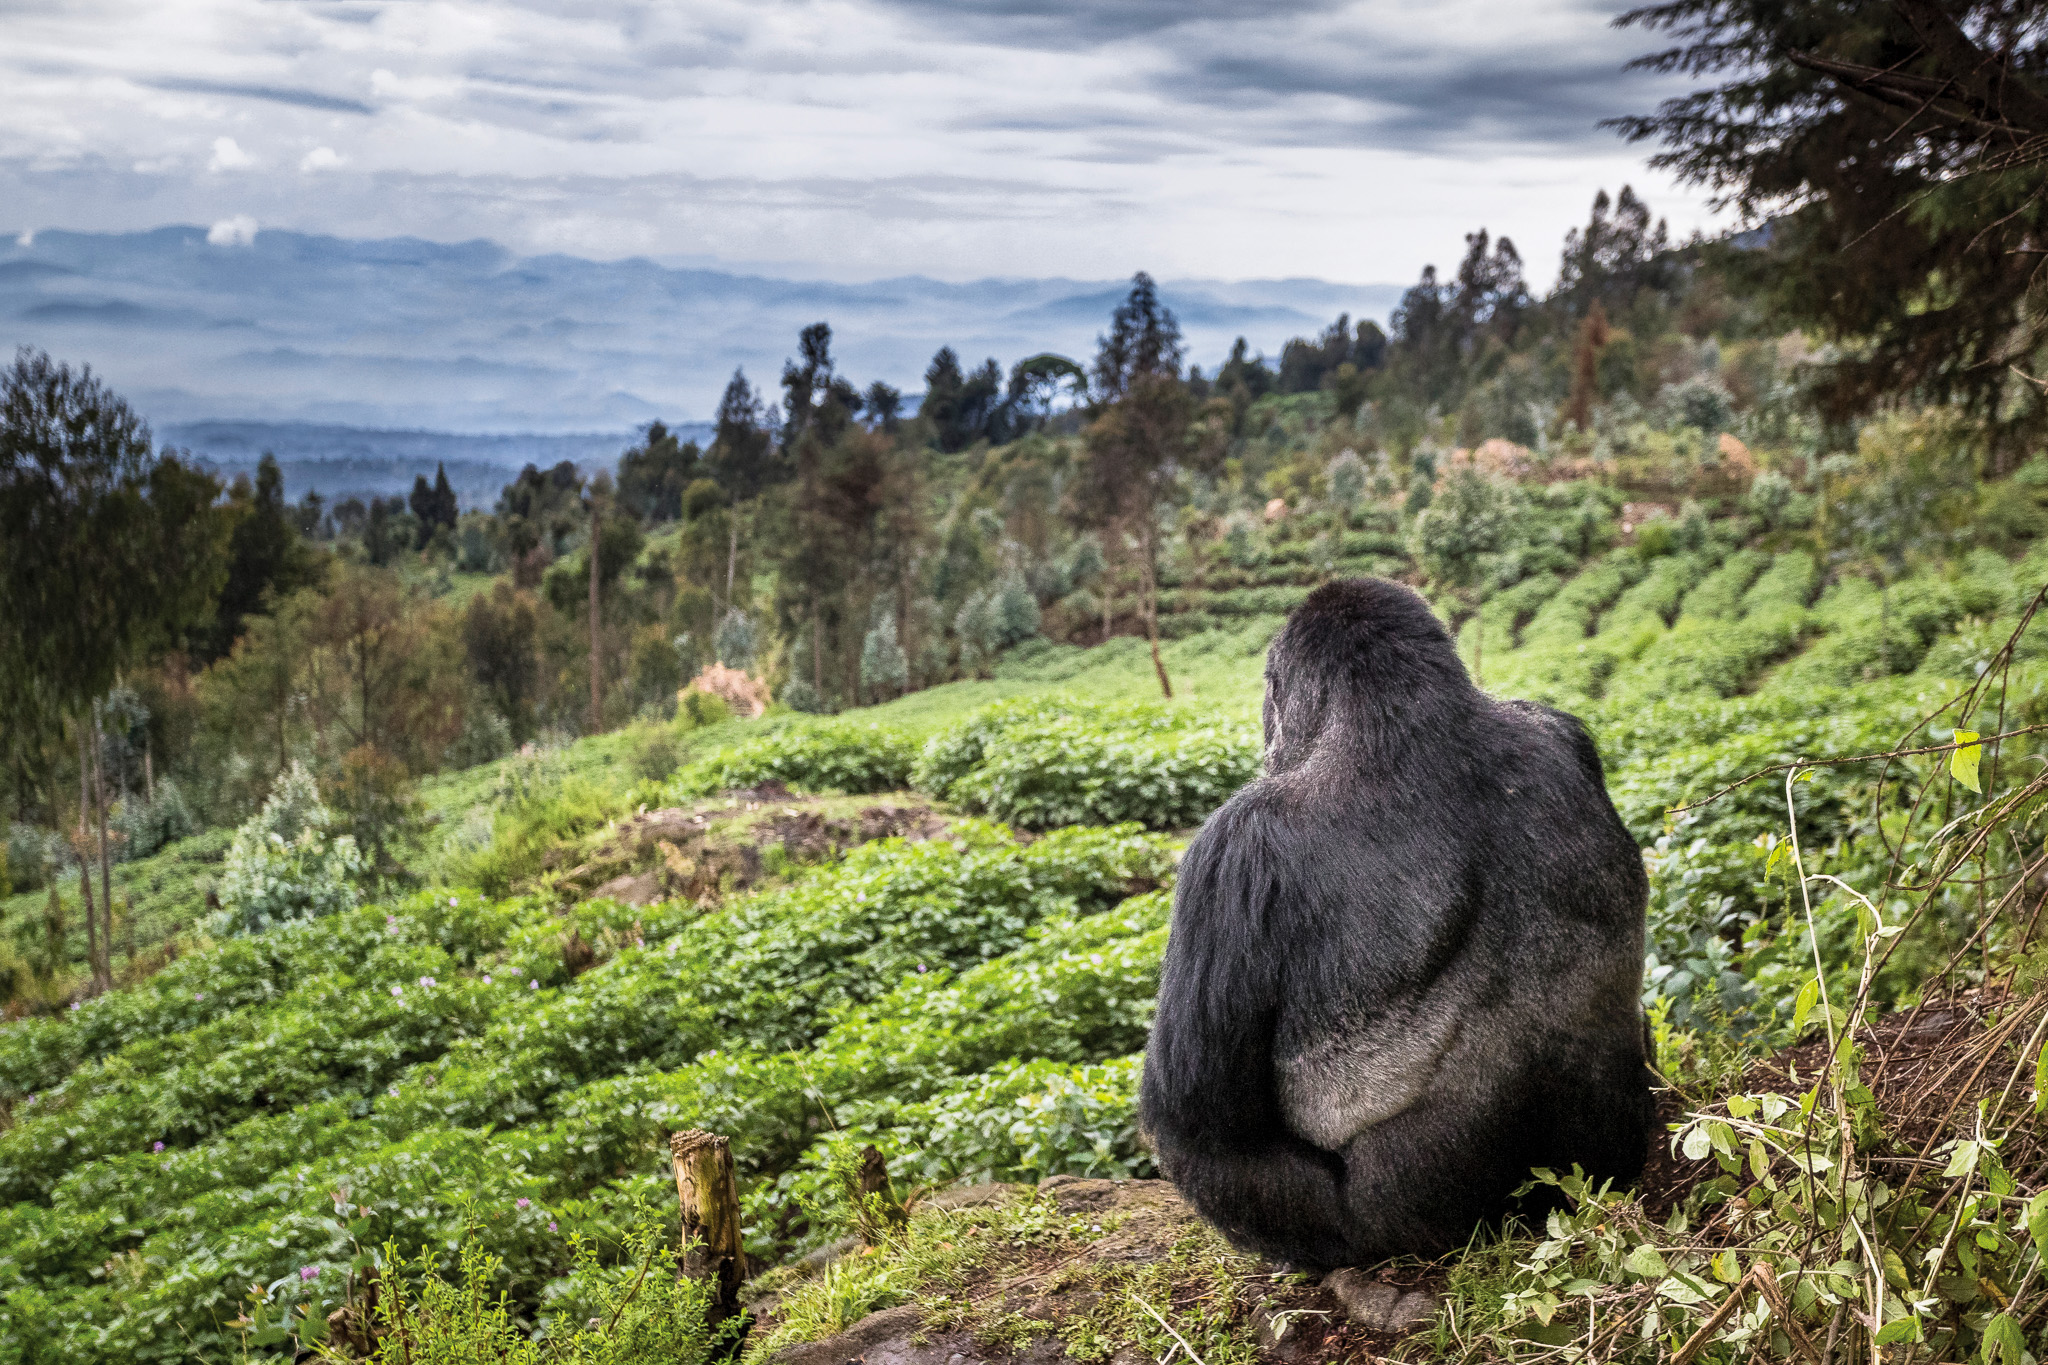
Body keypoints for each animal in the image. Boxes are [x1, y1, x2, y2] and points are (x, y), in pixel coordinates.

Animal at [1138, 576, 1653, 1270]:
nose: (1268, 735)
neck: (1406, 719)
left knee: (1210, 1148)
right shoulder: (1562, 728)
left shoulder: (1233, 848)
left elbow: (1196, 1109)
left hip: (1390, 1230)